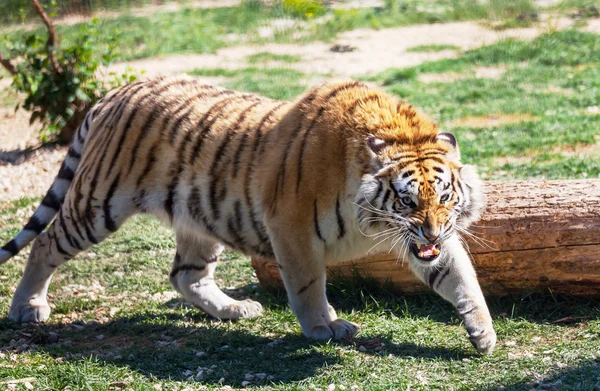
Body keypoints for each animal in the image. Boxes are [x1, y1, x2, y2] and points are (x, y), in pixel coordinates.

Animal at [1, 76, 496, 356]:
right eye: (407, 201)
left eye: (445, 198)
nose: (431, 230)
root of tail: (114, 94)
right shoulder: (292, 227)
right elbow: (308, 284)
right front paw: (324, 327)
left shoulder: (429, 241)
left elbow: (460, 276)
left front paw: (483, 332)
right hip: (97, 204)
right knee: (45, 243)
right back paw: (27, 308)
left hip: (199, 216)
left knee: (186, 274)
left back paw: (234, 309)